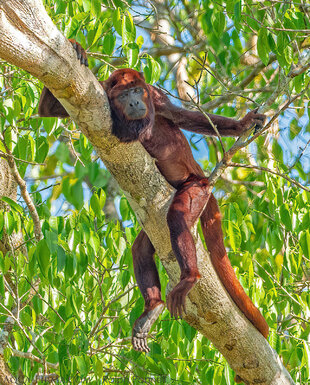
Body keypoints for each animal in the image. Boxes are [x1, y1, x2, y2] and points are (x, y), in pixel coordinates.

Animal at [38, 39, 268, 352]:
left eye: (137, 91)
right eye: (123, 95)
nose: (135, 103)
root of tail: (203, 179)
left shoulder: (156, 97)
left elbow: (184, 117)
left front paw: (244, 123)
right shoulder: (98, 92)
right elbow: (51, 106)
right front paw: (76, 47)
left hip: (197, 190)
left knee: (178, 217)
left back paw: (190, 277)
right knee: (141, 248)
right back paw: (153, 307)